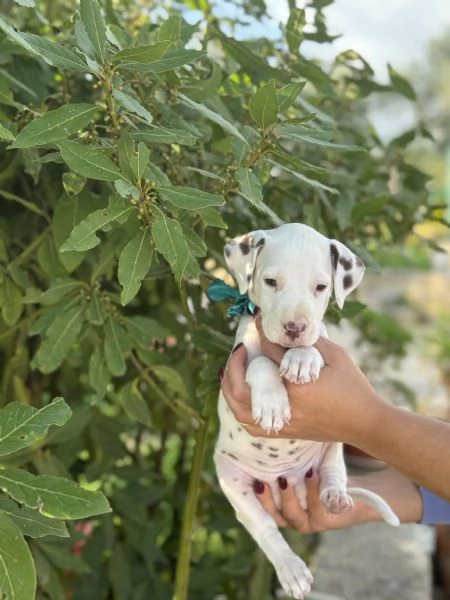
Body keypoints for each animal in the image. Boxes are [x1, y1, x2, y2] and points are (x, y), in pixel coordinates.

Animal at [215, 224, 400, 600]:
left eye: (321, 287)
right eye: (271, 282)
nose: (295, 328)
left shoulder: (323, 343)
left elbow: (312, 348)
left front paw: (301, 360)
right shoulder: (239, 361)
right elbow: (260, 365)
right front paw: (273, 403)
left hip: (334, 445)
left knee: (333, 472)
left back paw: (334, 497)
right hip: (231, 478)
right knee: (264, 528)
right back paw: (291, 569)